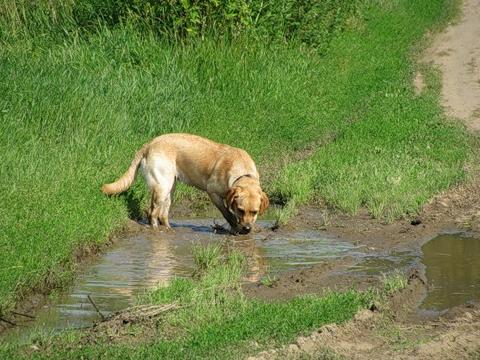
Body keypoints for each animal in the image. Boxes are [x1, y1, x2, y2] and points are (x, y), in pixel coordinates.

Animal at [101, 133, 268, 233]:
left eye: (255, 212)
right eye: (240, 210)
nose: (247, 229)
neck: (242, 172)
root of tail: (150, 144)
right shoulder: (212, 193)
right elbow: (227, 214)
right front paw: (235, 228)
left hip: (170, 188)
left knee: (163, 214)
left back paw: (169, 230)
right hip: (162, 187)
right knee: (152, 213)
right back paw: (156, 231)